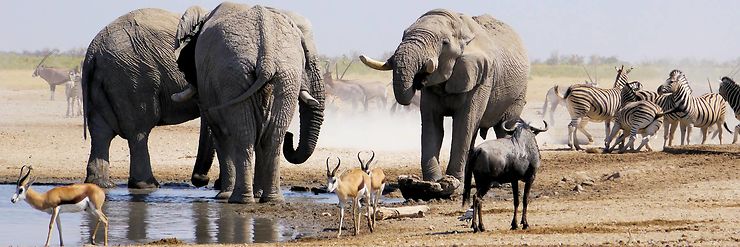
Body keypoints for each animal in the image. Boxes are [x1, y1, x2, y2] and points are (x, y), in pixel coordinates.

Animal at [84, 8, 217, 188]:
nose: (202, 180)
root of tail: (93, 52)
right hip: (134, 77)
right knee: (139, 130)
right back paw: (147, 185)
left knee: (101, 133)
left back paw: (101, 184)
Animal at [173, 2, 326, 203]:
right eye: (306, 58)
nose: (291, 137)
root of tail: (267, 57)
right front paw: (255, 194)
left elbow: (220, 135)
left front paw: (224, 196)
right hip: (277, 75)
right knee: (271, 136)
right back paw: (270, 199)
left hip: (238, 75)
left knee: (245, 136)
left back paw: (240, 199)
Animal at [360, 9, 528, 182]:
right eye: (403, 35)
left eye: (445, 43)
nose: (419, 79)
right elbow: (432, 125)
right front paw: (433, 181)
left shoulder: (481, 77)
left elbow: (463, 124)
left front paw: (453, 181)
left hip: (519, 92)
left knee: (504, 127)